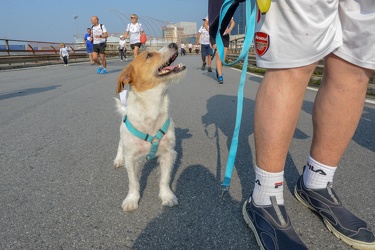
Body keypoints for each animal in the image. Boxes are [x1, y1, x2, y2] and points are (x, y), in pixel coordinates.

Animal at [114, 43, 186, 213]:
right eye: (149, 55)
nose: (174, 43)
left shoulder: (168, 154)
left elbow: (165, 179)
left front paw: (167, 196)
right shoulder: (131, 158)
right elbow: (133, 183)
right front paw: (132, 199)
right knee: (120, 145)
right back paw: (118, 158)